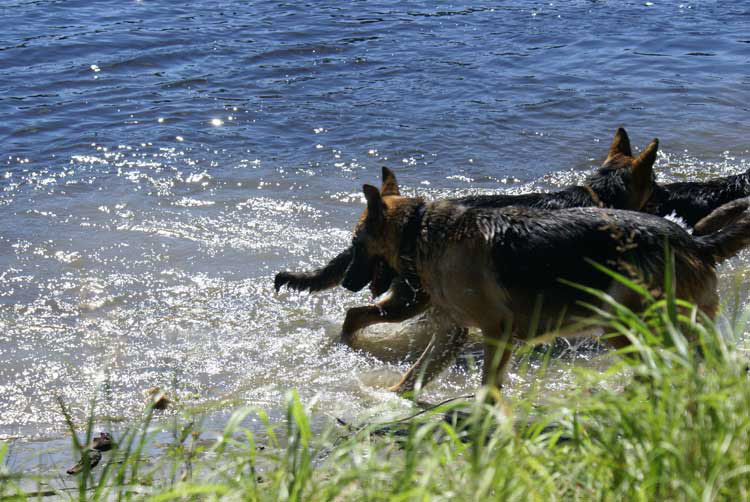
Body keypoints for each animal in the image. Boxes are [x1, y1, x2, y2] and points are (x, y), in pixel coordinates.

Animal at [340, 171, 750, 394]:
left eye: (356, 244)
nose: (345, 282)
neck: (420, 230)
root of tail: (695, 244)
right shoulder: (451, 332)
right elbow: (414, 375)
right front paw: (390, 399)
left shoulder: (496, 330)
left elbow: (488, 382)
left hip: (629, 323)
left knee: (673, 362)